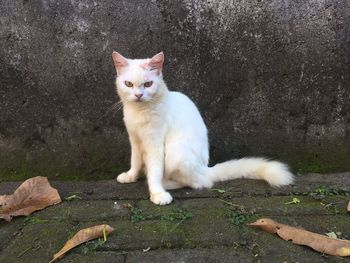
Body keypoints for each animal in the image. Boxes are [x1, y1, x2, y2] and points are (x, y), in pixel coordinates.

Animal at [111, 51, 292, 204]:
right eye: (128, 84)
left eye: (148, 84)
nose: (138, 95)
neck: (140, 112)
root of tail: (206, 168)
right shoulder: (135, 140)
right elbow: (135, 161)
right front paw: (130, 176)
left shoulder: (155, 145)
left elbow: (155, 171)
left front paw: (157, 193)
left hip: (176, 151)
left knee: (201, 183)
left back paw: (165, 184)